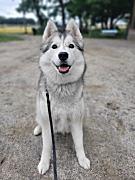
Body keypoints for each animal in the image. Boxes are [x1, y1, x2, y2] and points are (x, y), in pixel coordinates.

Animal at [33, 18, 90, 174]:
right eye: (54, 46)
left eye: (71, 46)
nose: (63, 55)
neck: (62, 87)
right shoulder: (48, 119)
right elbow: (47, 146)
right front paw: (44, 163)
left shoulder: (76, 119)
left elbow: (79, 143)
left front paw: (82, 159)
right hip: (40, 111)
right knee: (39, 121)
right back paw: (38, 129)